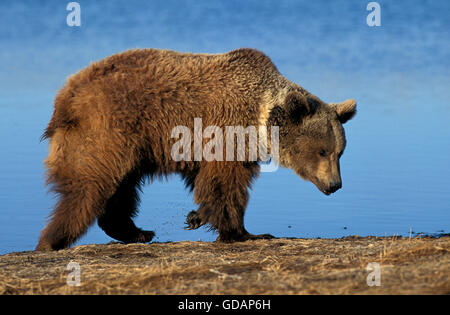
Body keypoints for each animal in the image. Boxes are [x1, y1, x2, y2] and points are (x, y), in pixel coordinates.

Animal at [35, 48, 356, 252]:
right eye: (322, 151)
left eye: (339, 152)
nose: (335, 185)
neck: (261, 114)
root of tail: (66, 97)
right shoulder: (226, 129)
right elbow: (226, 182)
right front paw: (245, 233)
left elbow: (208, 182)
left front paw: (196, 217)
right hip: (109, 131)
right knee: (89, 187)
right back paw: (52, 240)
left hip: (129, 147)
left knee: (121, 188)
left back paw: (137, 232)